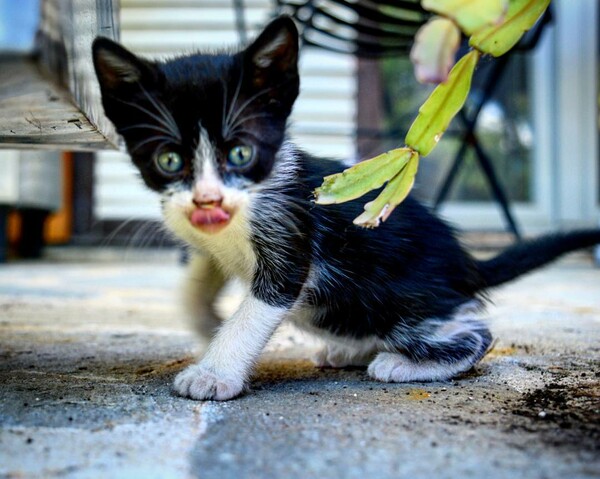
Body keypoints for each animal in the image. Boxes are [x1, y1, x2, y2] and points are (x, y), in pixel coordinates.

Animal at [92, 15, 600, 402]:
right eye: (169, 161)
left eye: (240, 153)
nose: (207, 200)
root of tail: (466, 266)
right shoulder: (208, 242)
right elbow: (196, 282)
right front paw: (206, 323)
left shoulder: (291, 235)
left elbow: (256, 309)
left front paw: (214, 372)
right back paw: (352, 350)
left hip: (398, 298)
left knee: (475, 334)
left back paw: (401, 363)